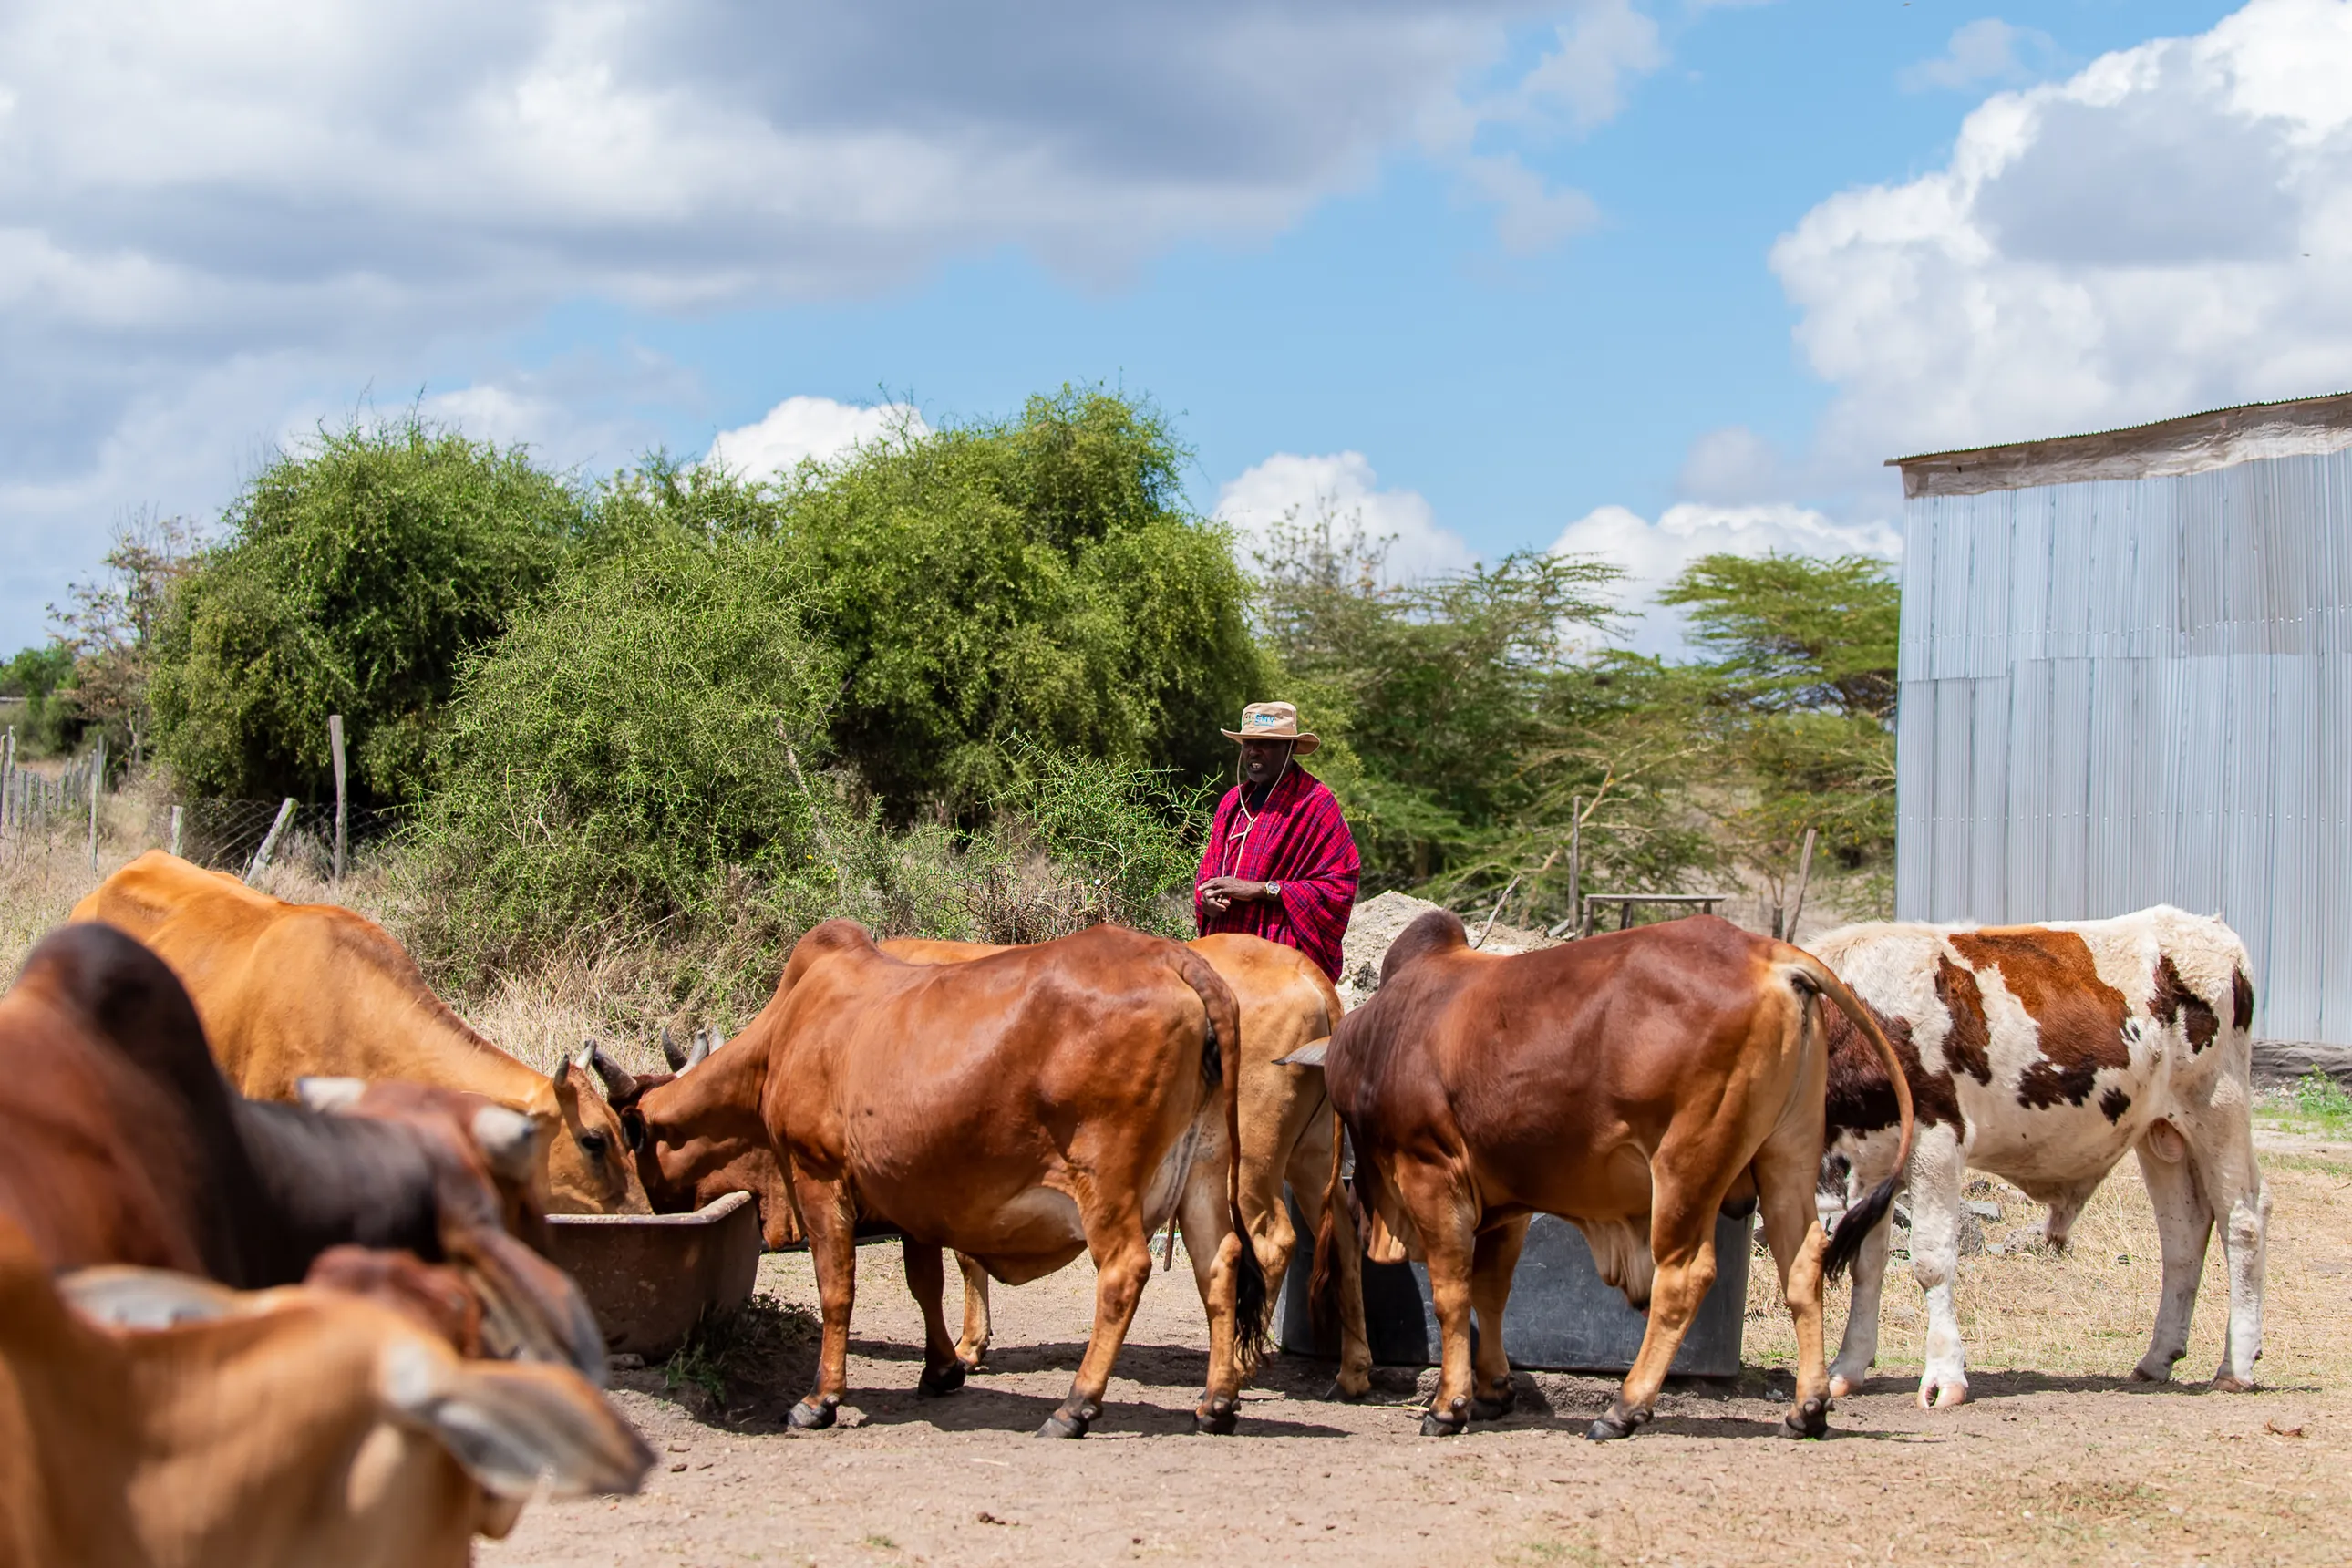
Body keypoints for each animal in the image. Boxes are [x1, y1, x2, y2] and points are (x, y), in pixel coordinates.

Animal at [596, 931, 1375, 1399]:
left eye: (631, 1139)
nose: (646, 1209)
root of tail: (1311, 978)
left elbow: (948, 1265)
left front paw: (965, 1350)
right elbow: (938, 1271)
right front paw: (955, 1354)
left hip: (1244, 1165)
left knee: (1264, 1245)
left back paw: (1238, 1367)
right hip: (1305, 1158)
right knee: (1337, 1239)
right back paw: (1349, 1370)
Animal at [1313, 910, 1914, 1440]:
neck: (1385, 1035)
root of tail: (1769, 954)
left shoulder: (1430, 1172)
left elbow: (1452, 1293)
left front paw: (1448, 1405)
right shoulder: (1507, 1202)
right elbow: (1493, 1291)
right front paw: (1493, 1391)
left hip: (1684, 1166)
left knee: (1685, 1277)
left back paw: (1624, 1408)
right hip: (1786, 1158)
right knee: (1803, 1264)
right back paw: (1806, 1409)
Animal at [1812, 905, 2269, 1408]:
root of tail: (2205, 925)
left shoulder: (1937, 1139)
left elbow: (1931, 1261)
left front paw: (1944, 1376)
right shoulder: (1871, 1157)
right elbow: (1864, 1263)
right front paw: (1847, 1368)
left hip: (2219, 1108)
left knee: (2243, 1221)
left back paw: (2235, 1367)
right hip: (2161, 1131)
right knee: (2183, 1235)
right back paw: (2156, 1358)